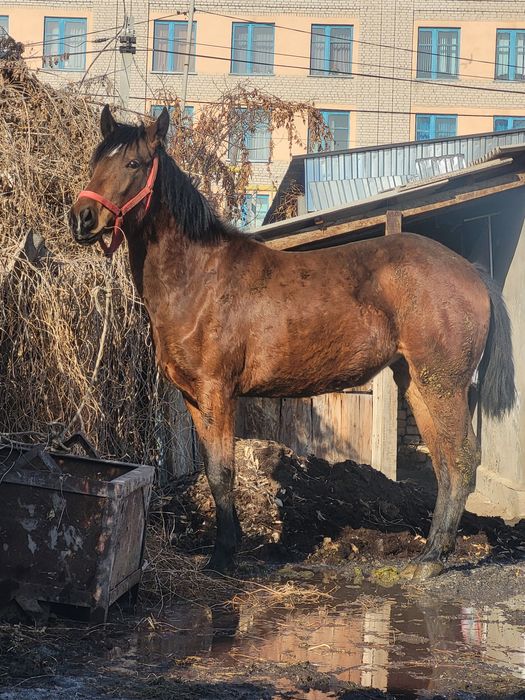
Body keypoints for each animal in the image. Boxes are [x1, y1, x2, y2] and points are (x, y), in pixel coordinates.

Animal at [70, 106, 515, 580]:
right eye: (96, 160)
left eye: (134, 163)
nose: (82, 218)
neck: (199, 277)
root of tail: (470, 271)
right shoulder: (194, 398)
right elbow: (211, 471)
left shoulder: (217, 393)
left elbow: (222, 472)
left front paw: (223, 555)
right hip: (416, 383)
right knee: (444, 462)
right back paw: (432, 550)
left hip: (443, 384)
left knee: (462, 458)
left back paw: (434, 561)